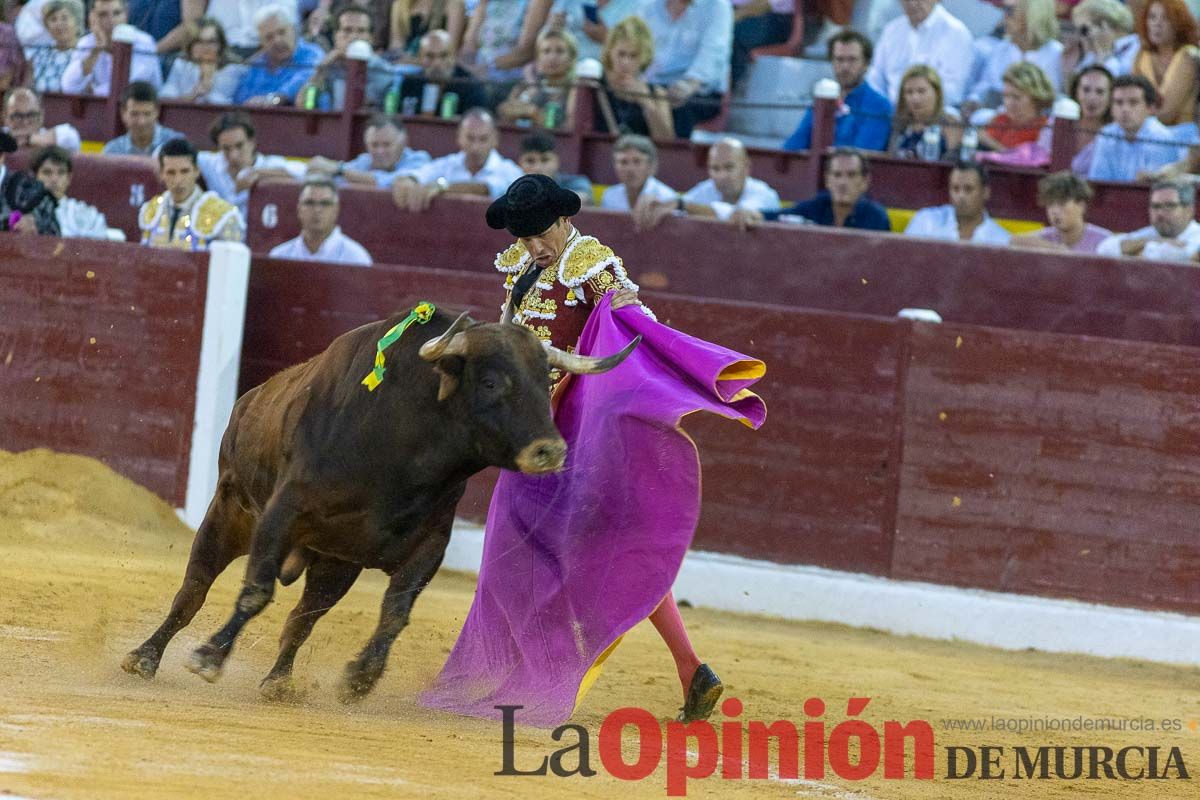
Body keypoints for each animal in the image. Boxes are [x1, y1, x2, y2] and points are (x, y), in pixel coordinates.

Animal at [124, 307, 638, 700]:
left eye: (545, 378)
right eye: (492, 382)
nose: (550, 450)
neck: (402, 452)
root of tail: (249, 398)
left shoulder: (428, 544)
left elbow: (395, 612)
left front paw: (361, 678)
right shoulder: (281, 514)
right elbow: (256, 589)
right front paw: (210, 656)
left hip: (335, 564)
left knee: (302, 618)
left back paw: (279, 681)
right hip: (229, 513)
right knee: (193, 591)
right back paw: (144, 657)